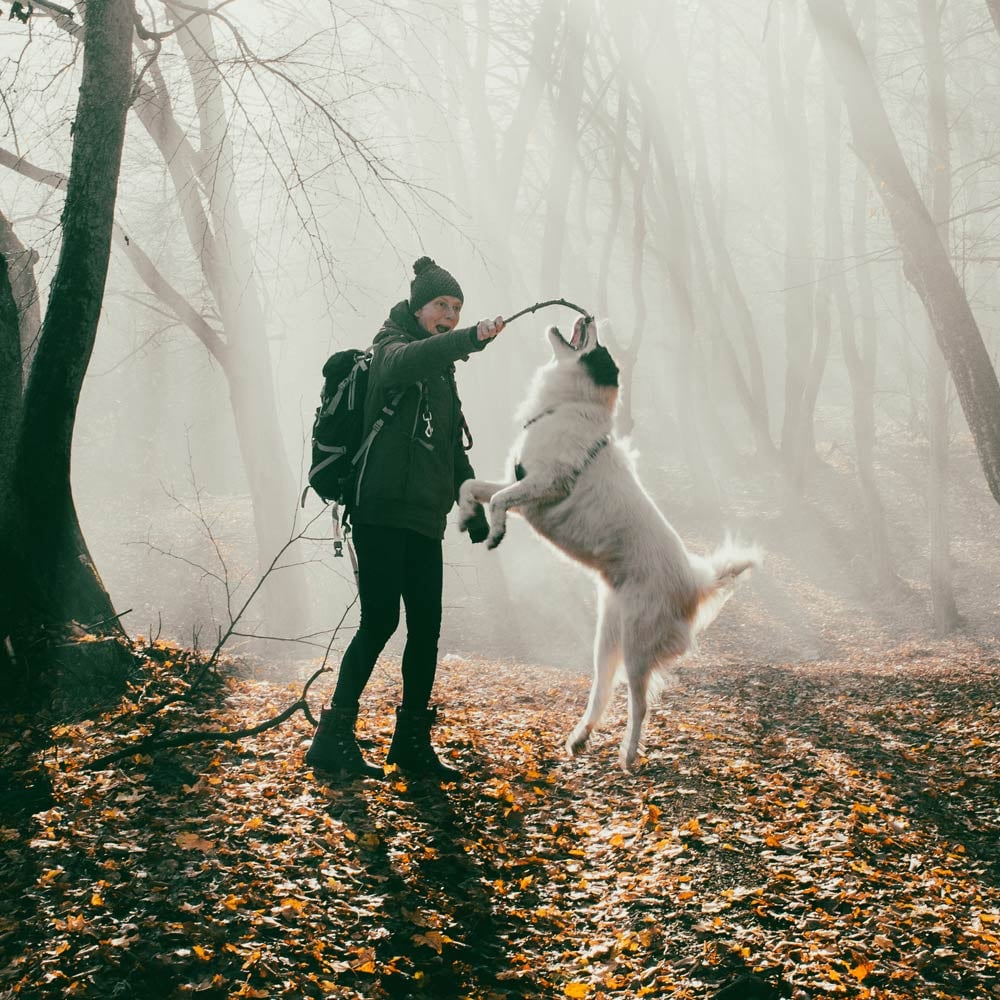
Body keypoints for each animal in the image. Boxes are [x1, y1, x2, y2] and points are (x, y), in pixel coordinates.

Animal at [458, 316, 756, 768]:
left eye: (600, 348)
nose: (590, 316)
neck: (567, 406)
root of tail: (694, 583)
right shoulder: (520, 486)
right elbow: (472, 486)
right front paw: (464, 517)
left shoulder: (544, 484)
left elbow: (495, 499)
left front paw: (494, 532)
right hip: (606, 640)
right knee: (603, 689)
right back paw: (580, 737)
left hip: (636, 645)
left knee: (639, 703)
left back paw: (628, 755)